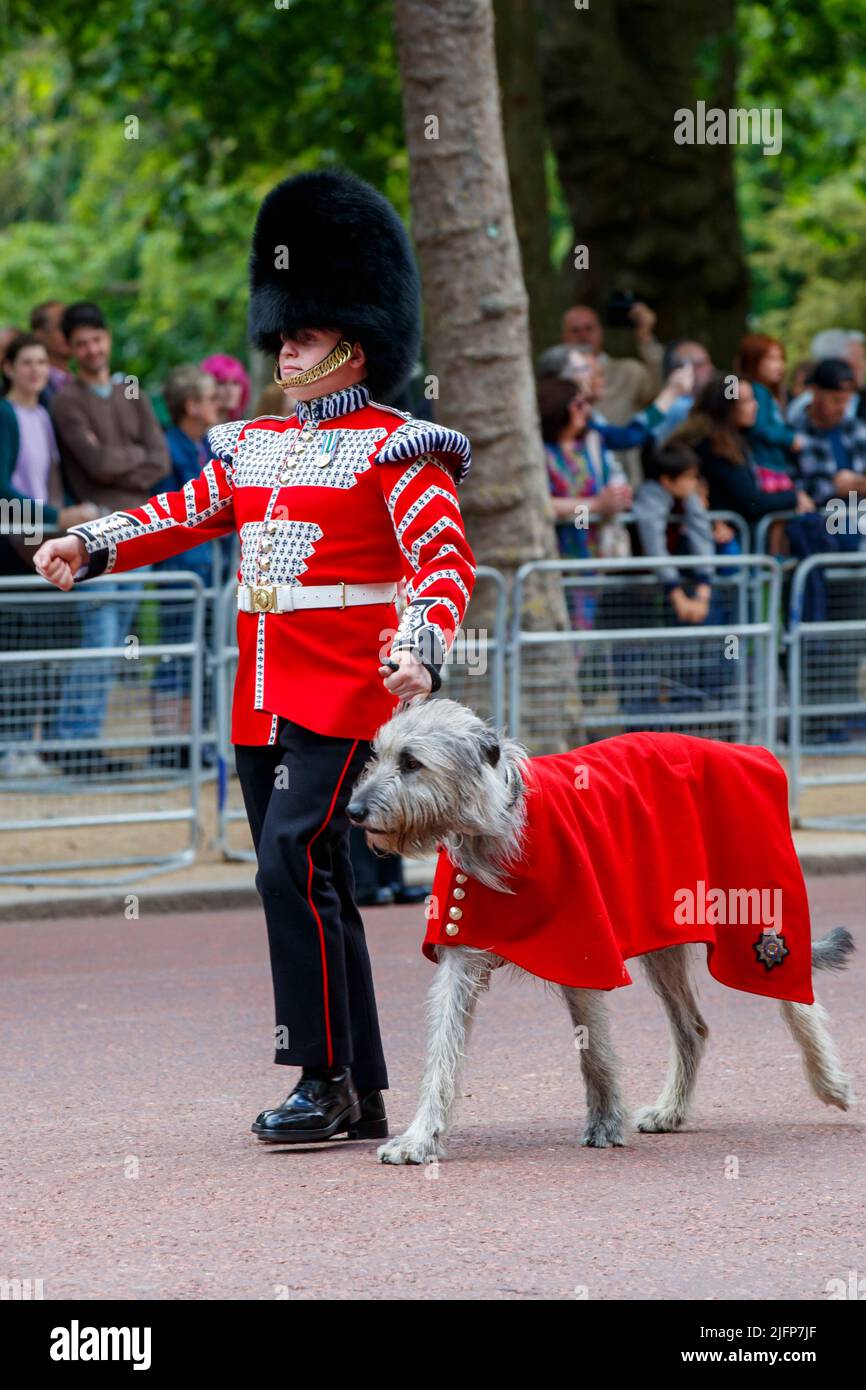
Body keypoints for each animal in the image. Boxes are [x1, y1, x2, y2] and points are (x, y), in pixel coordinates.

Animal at [347, 695, 861, 1162]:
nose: (353, 810)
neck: (496, 826)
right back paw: (672, 1111)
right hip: (664, 939)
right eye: (377, 754)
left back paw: (830, 1083)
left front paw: (606, 1122)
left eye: (411, 762)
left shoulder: (585, 951)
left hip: (756, 919)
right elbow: (444, 1047)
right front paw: (421, 1139)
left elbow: (592, 1047)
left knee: (795, 995)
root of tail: (749, 752)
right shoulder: (462, 948)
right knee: (692, 1028)